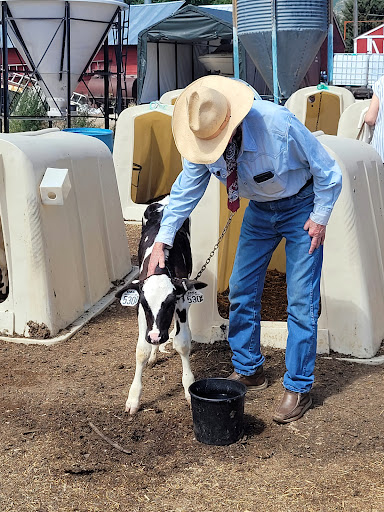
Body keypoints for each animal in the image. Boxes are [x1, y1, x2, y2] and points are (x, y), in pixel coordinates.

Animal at [116, 197, 207, 416]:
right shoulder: (142, 314)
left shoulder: (182, 302)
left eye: (170, 303)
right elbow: (141, 350)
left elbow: (182, 343)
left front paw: (188, 388)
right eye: (144, 303)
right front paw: (133, 398)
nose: (156, 337)